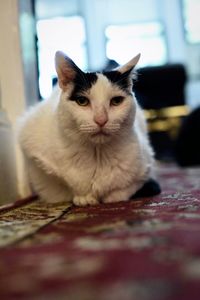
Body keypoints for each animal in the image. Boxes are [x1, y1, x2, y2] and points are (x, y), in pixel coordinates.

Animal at [18, 51, 159, 206]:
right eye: (82, 101)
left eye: (116, 101)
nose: (101, 120)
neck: (97, 155)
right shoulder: (35, 153)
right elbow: (64, 188)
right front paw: (84, 197)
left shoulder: (145, 166)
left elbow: (122, 191)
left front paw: (109, 196)